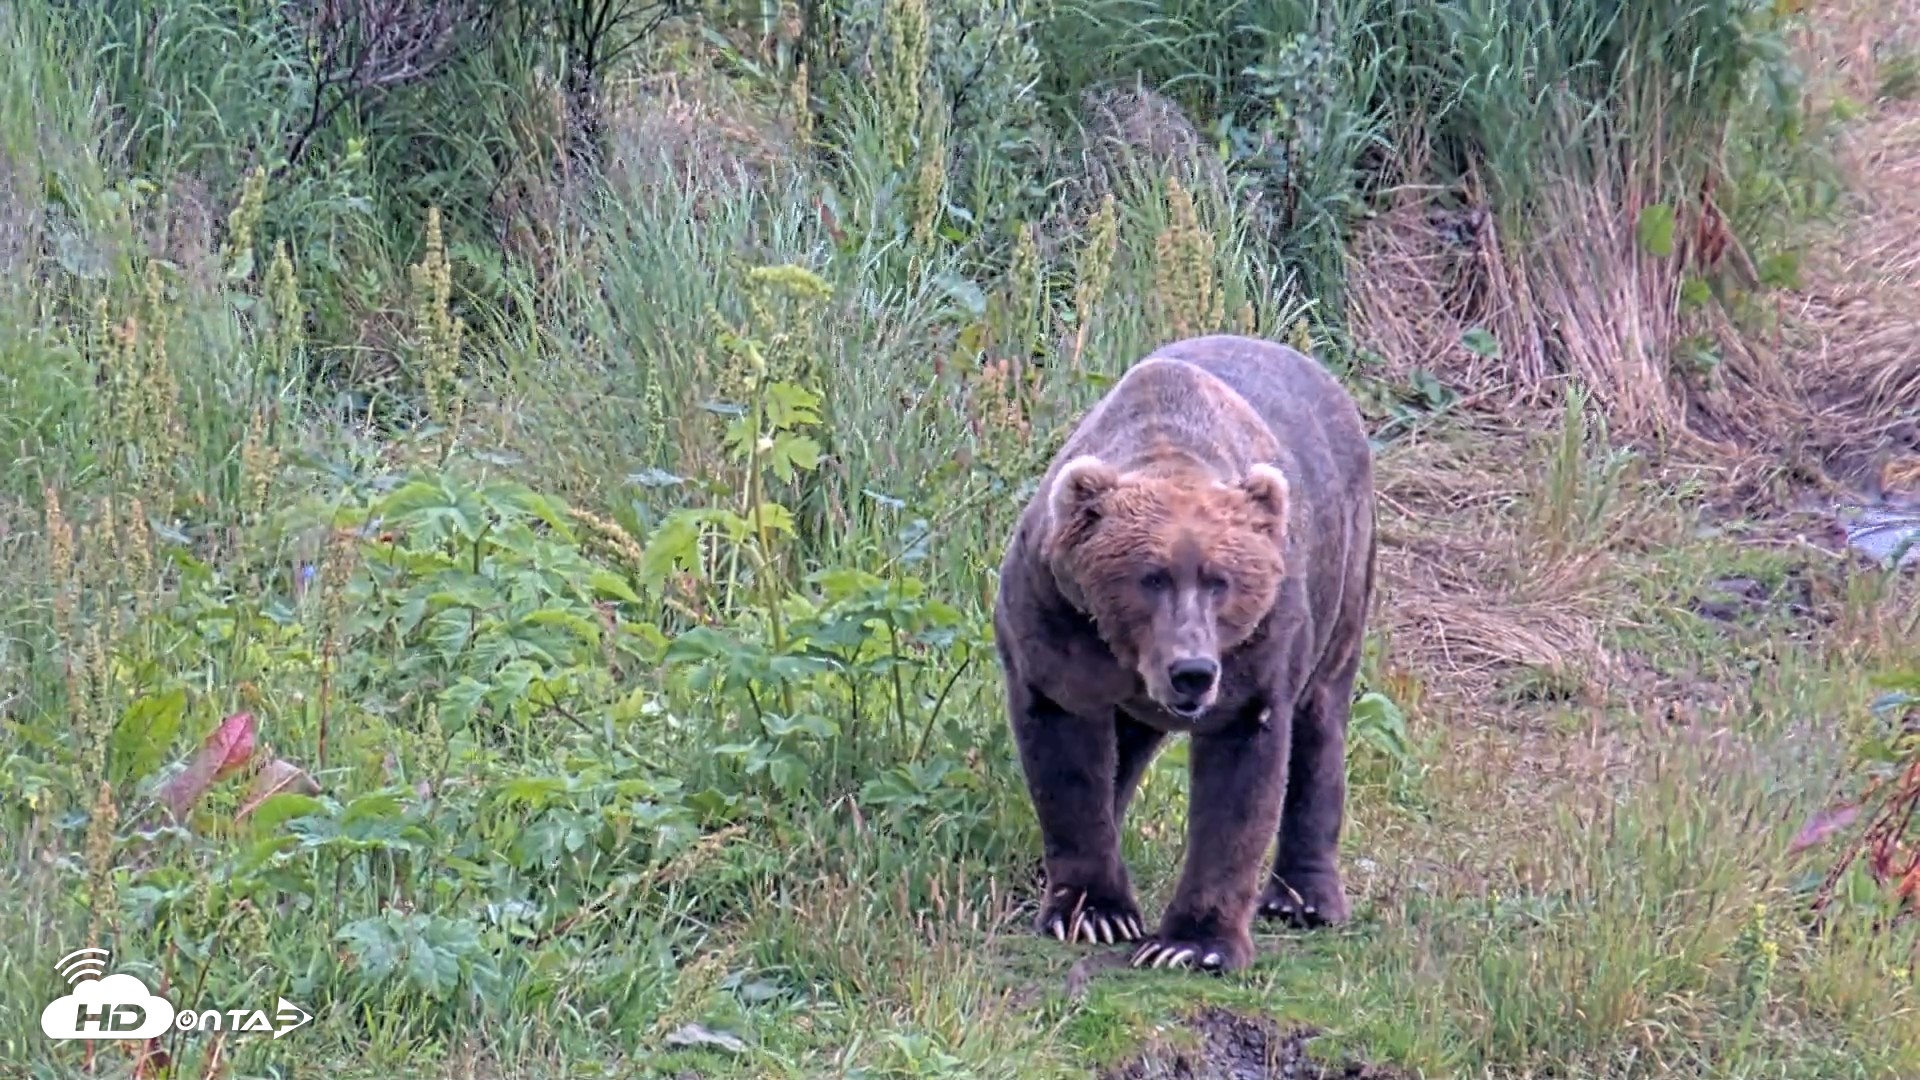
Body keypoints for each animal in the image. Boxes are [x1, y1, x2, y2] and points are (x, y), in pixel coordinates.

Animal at [991, 333, 1376, 974]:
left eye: (1221, 580)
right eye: (1150, 577)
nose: (1192, 672)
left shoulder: (1257, 652)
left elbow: (1240, 786)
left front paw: (1192, 944)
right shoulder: (1056, 618)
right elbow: (1067, 757)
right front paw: (1094, 911)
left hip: (1344, 571)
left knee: (1321, 720)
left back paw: (1304, 899)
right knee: (1124, 751)